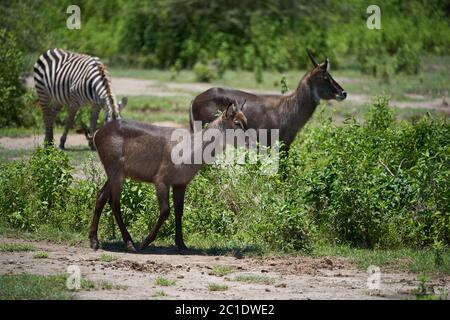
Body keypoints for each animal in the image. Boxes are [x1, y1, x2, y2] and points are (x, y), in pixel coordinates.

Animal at [89, 101, 248, 251]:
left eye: (246, 121)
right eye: (236, 122)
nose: (248, 141)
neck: (190, 148)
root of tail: (98, 132)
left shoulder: (180, 184)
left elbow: (179, 211)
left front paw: (182, 245)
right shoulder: (161, 181)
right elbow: (165, 210)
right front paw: (145, 242)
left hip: (115, 174)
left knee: (101, 196)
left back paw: (94, 240)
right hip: (115, 173)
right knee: (115, 203)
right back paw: (129, 243)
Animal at [188, 51, 346, 156]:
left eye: (330, 75)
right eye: (325, 77)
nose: (343, 93)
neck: (288, 109)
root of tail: (195, 99)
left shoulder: (284, 146)